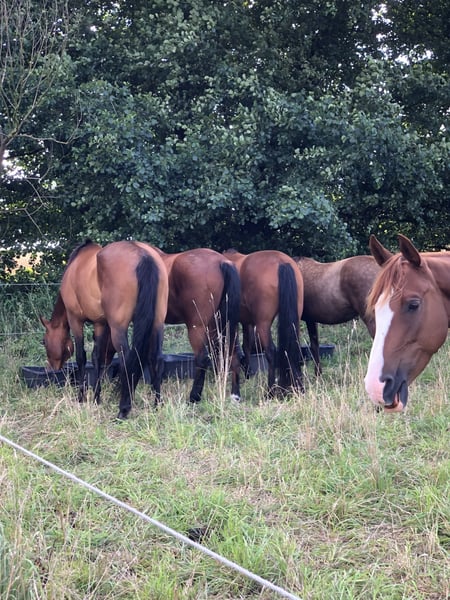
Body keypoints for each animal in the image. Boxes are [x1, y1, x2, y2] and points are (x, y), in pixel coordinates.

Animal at [41, 240, 169, 419]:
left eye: (44, 342)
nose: (50, 369)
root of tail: (144, 255)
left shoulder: (75, 320)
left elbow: (81, 357)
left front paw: (81, 398)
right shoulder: (100, 323)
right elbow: (97, 358)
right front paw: (96, 398)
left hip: (118, 328)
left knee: (127, 360)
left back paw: (123, 409)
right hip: (157, 323)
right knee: (156, 358)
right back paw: (157, 404)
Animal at [152, 246, 242, 403]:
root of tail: (222, 262)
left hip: (197, 326)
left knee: (202, 358)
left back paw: (194, 397)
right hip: (223, 324)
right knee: (233, 354)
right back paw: (235, 396)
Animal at [223, 249, 304, 396]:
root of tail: (281, 262)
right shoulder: (247, 322)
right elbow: (246, 345)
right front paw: (248, 373)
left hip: (263, 324)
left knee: (271, 352)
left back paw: (270, 392)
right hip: (294, 319)